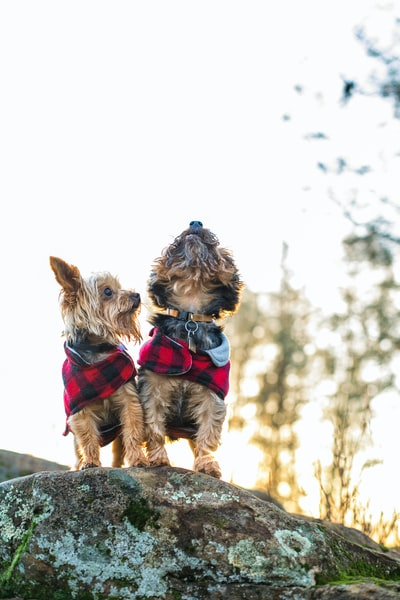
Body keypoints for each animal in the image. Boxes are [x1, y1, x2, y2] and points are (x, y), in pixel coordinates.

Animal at [50, 255, 147, 472]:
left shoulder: (128, 399)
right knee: (78, 449)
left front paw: (138, 459)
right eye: (108, 291)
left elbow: (133, 430)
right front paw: (90, 462)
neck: (97, 350)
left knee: (119, 450)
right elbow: (87, 437)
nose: (136, 295)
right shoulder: (79, 411)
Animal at [138, 220, 244, 478]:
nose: (196, 222)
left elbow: (207, 433)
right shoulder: (152, 387)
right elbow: (153, 426)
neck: (190, 317)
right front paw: (158, 459)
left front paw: (207, 465)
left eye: (216, 250)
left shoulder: (211, 395)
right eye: (172, 248)